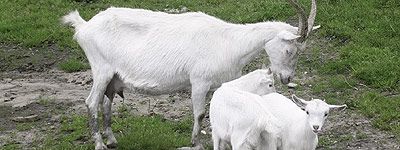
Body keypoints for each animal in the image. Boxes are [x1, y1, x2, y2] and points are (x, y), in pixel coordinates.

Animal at [61, 0, 318, 149]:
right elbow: (200, 114)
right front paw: (196, 143)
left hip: (114, 77)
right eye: (289, 50)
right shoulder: (199, 81)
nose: (287, 78)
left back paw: (112, 141)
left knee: (106, 103)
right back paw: (99, 144)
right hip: (101, 69)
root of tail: (84, 26)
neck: (229, 41)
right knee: (91, 102)